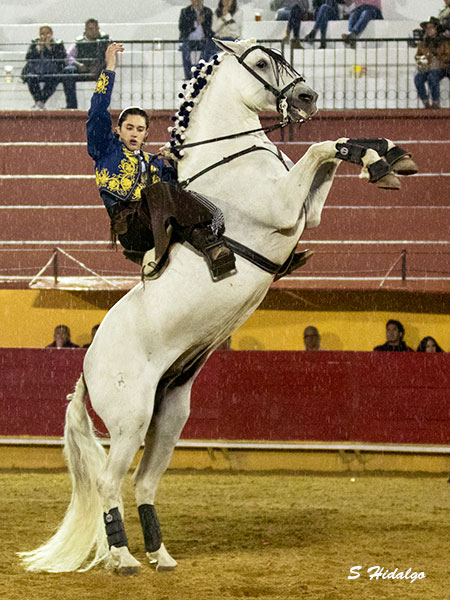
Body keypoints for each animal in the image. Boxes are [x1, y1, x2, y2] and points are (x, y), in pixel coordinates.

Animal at [19, 39, 416, 576]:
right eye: (263, 62)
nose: (309, 98)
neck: (232, 157)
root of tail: (84, 368)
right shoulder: (283, 207)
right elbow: (319, 149)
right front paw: (381, 161)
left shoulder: (306, 212)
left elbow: (334, 148)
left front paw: (387, 158)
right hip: (130, 420)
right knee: (107, 482)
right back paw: (123, 557)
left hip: (169, 415)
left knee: (143, 482)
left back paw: (161, 555)